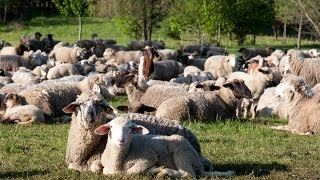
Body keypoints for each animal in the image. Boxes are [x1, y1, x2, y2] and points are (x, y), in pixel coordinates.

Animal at [95, 117, 235, 178]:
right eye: (111, 127)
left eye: (130, 128)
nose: (121, 140)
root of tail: (198, 162)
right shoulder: (108, 169)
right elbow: (108, 172)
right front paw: (152, 170)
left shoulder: (148, 157)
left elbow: (130, 171)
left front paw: (156, 169)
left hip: (182, 154)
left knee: (189, 174)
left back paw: (164, 172)